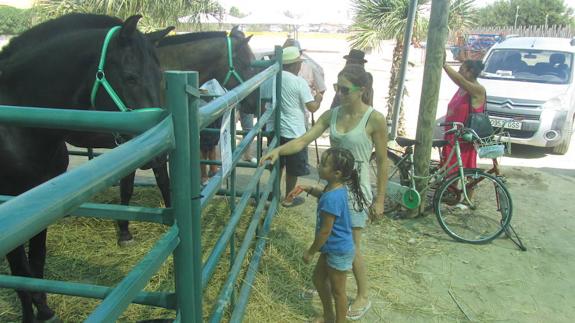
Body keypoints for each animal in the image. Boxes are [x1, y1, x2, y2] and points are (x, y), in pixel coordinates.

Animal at [0, 13, 168, 323]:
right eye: (131, 77)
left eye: (161, 77)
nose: (160, 154)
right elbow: (20, 275)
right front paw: (32, 314)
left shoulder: (41, 206)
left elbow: (36, 263)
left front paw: (44, 310)